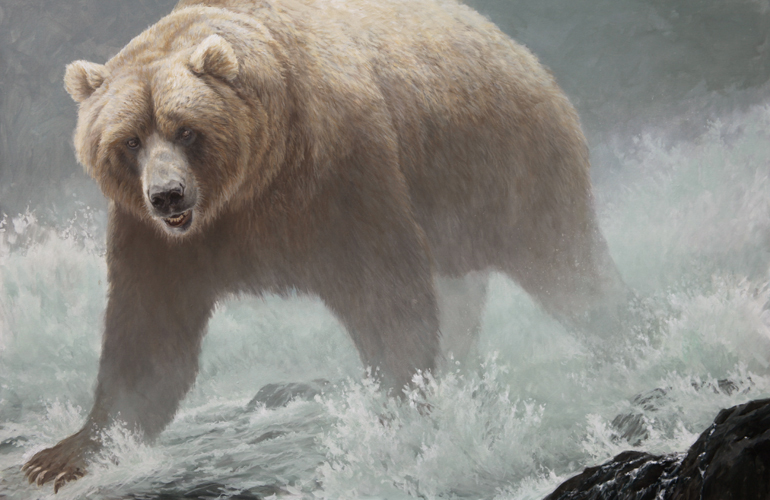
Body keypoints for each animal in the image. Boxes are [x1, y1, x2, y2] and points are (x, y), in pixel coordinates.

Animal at [23, 0, 624, 491]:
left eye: (186, 129)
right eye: (129, 139)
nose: (167, 195)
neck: (249, 183)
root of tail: (513, 46)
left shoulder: (336, 175)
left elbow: (386, 293)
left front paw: (397, 417)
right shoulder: (161, 240)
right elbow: (148, 331)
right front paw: (68, 453)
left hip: (506, 165)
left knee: (568, 268)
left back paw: (624, 343)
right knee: (463, 295)